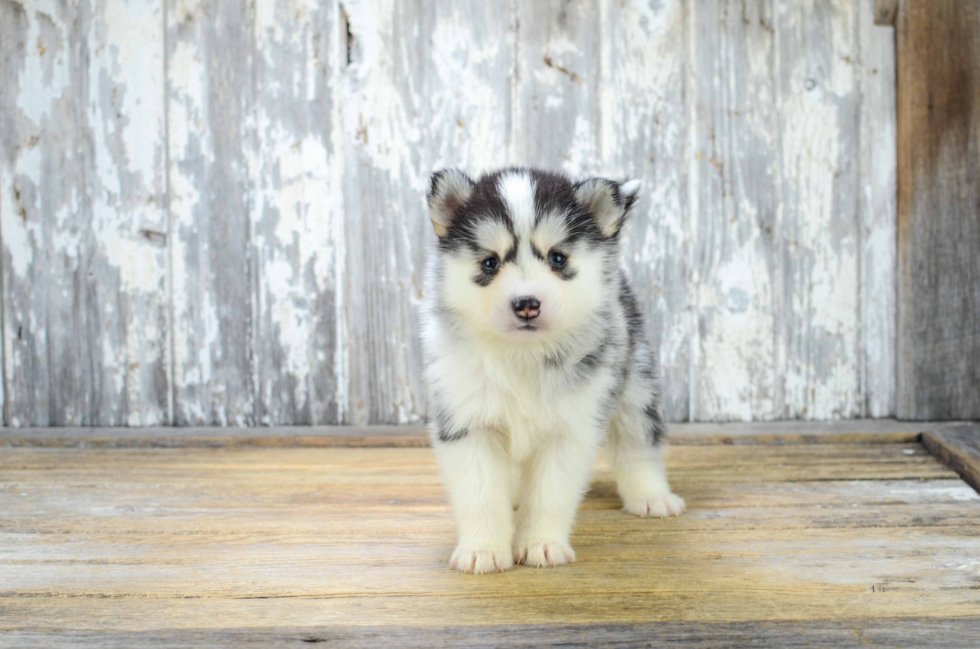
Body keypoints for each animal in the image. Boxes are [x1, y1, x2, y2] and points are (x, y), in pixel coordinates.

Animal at [420, 166, 680, 572]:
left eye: (557, 258)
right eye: (490, 262)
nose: (527, 303)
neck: (522, 355)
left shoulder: (570, 428)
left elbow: (550, 494)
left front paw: (541, 544)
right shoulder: (468, 423)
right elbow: (480, 494)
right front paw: (482, 549)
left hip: (635, 381)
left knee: (637, 443)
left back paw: (651, 495)